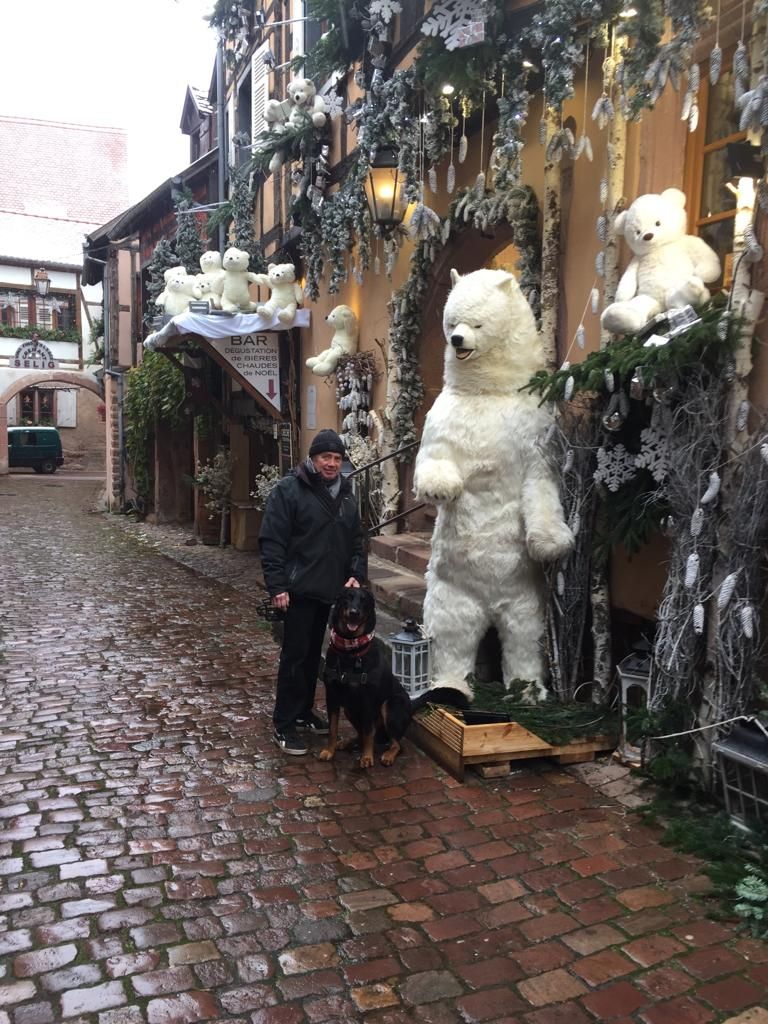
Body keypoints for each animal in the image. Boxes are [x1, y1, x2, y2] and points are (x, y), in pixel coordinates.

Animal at [319, 585, 415, 770]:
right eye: (347, 597)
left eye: (364, 601)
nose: (354, 613)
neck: (350, 652)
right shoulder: (332, 695)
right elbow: (333, 728)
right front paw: (329, 751)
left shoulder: (369, 699)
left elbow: (369, 732)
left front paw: (367, 758)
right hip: (349, 709)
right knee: (363, 734)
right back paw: (348, 742)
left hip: (391, 706)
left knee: (396, 744)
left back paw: (388, 756)